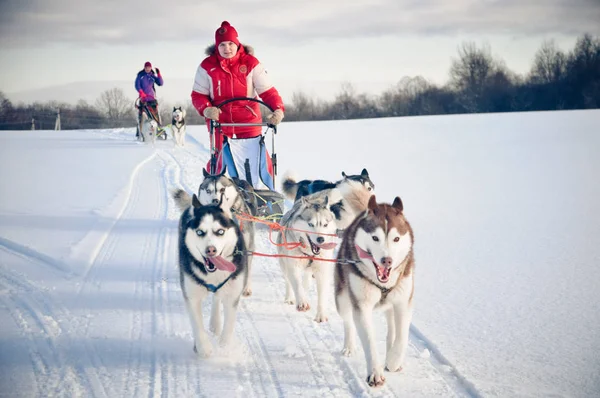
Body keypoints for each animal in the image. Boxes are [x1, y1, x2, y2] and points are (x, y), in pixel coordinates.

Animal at [175, 194, 247, 358]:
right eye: (200, 232)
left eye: (220, 232)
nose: (211, 250)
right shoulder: (192, 295)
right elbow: (197, 324)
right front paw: (203, 348)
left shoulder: (232, 294)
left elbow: (229, 325)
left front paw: (224, 347)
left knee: (217, 298)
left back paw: (215, 324)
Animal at [276, 194, 338, 322]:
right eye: (311, 224)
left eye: (325, 224)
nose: (320, 239)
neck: (310, 253)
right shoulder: (293, 267)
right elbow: (297, 285)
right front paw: (302, 302)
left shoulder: (322, 271)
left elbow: (322, 295)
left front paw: (321, 315)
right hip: (284, 265)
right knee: (288, 281)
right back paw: (289, 297)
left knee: (306, 281)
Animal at [336, 194, 414, 388]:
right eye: (375, 238)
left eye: (396, 239)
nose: (387, 260)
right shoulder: (361, 306)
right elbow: (369, 341)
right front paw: (375, 373)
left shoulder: (404, 303)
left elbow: (402, 336)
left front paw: (393, 361)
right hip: (342, 298)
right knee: (348, 322)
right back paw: (349, 346)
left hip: (392, 304)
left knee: (392, 328)